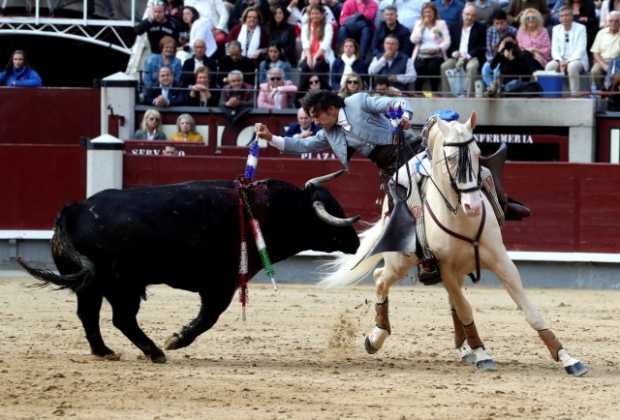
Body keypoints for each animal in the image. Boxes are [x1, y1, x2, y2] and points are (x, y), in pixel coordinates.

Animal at [19, 172, 358, 362]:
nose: (355, 242)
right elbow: (208, 317)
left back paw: (105, 352)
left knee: (90, 315)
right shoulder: (220, 284)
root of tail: (73, 210)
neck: (262, 211)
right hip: (122, 285)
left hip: (93, 285)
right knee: (121, 318)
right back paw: (155, 352)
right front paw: (177, 339)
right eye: (332, 212)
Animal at [322, 112, 588, 378]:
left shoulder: (502, 262)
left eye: (478, 153)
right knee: (381, 279)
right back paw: (376, 338)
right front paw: (483, 353)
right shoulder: (446, 268)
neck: (463, 220)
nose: (473, 206)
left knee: (451, 300)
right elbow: (466, 309)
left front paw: (568, 358)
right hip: (402, 261)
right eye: (450, 158)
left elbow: (529, 310)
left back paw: (464, 349)